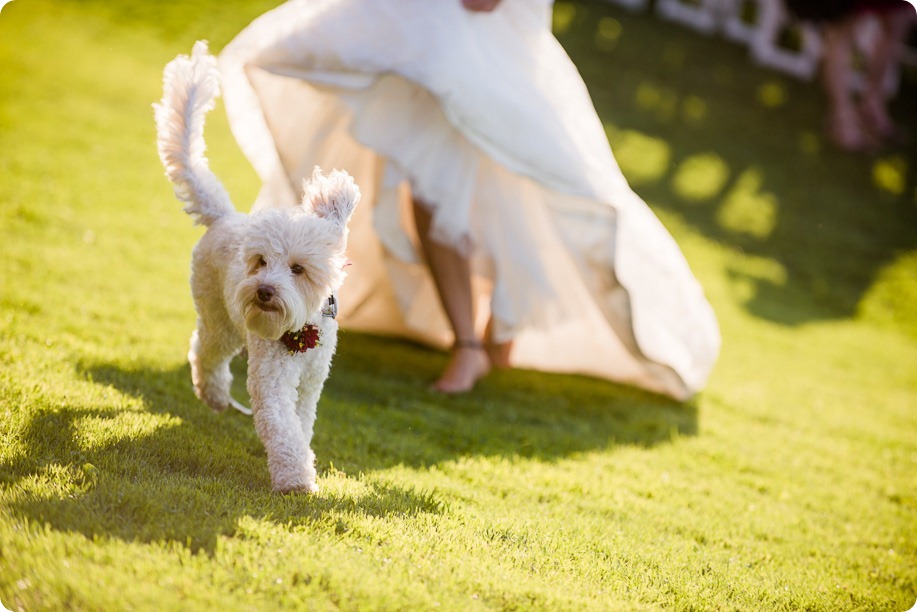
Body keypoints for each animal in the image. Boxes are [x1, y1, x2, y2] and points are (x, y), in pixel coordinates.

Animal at [156, 43, 360, 492]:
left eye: (298, 269)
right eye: (261, 261)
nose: (263, 290)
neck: (302, 330)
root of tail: (223, 215)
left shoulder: (311, 383)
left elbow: (302, 424)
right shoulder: (272, 379)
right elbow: (283, 429)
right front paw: (296, 479)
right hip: (222, 321)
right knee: (204, 350)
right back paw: (214, 395)